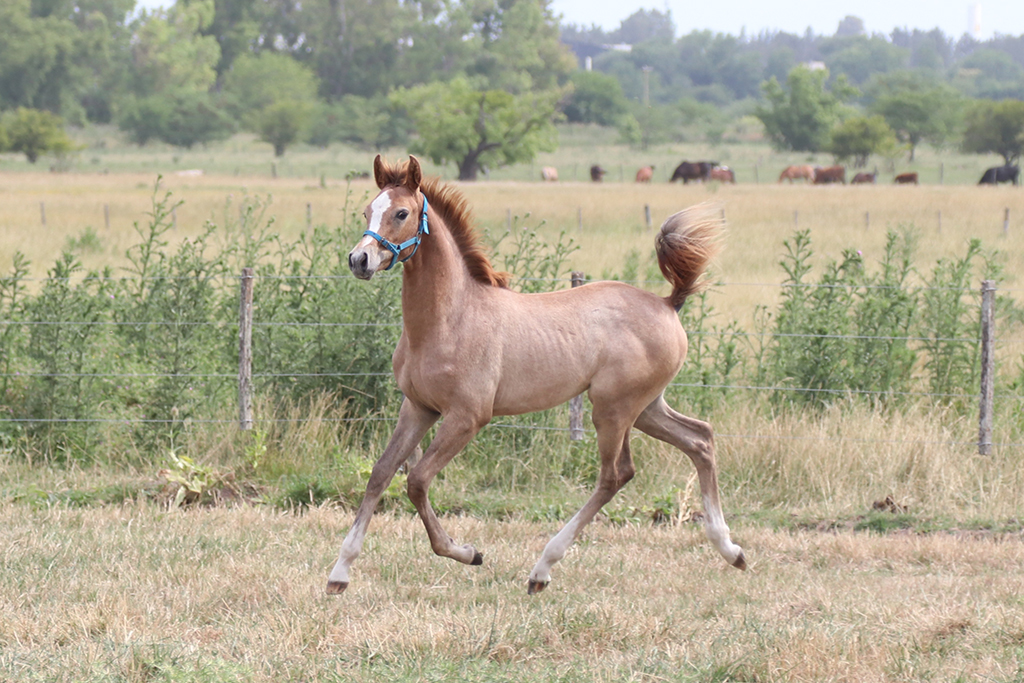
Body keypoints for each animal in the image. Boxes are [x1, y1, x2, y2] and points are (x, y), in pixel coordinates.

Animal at [331, 155, 746, 595]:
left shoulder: (466, 417)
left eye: (401, 213)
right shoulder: (418, 407)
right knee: (700, 439)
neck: (450, 318)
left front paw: (467, 552)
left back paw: (542, 569)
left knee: (615, 475)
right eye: (367, 211)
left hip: (613, 410)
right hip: (646, 408)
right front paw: (339, 571)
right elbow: (381, 473)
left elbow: (418, 480)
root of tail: (668, 304)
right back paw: (731, 550)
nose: (359, 260)